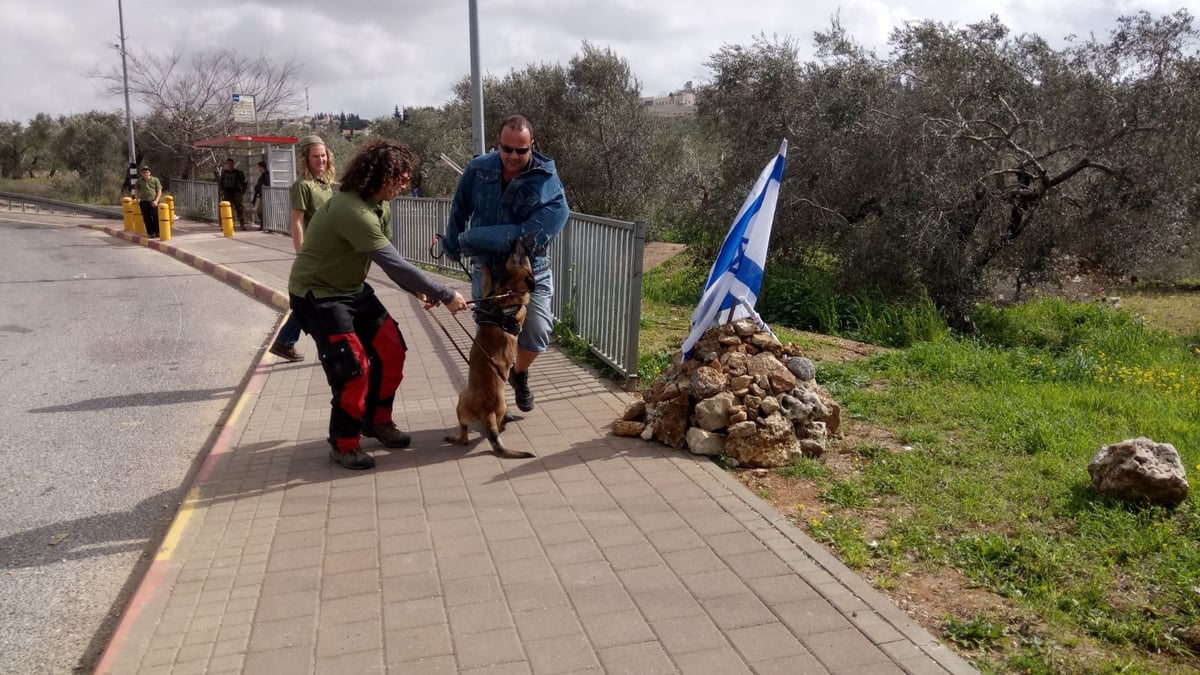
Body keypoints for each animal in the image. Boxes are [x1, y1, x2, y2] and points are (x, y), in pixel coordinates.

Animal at [448, 236, 537, 456]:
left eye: (519, 256)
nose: (519, 240)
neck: (511, 292)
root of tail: (486, 411)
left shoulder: (488, 292)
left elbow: (488, 278)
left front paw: (487, 266)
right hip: (500, 409)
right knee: (501, 425)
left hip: (461, 400)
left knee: (464, 437)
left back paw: (454, 438)